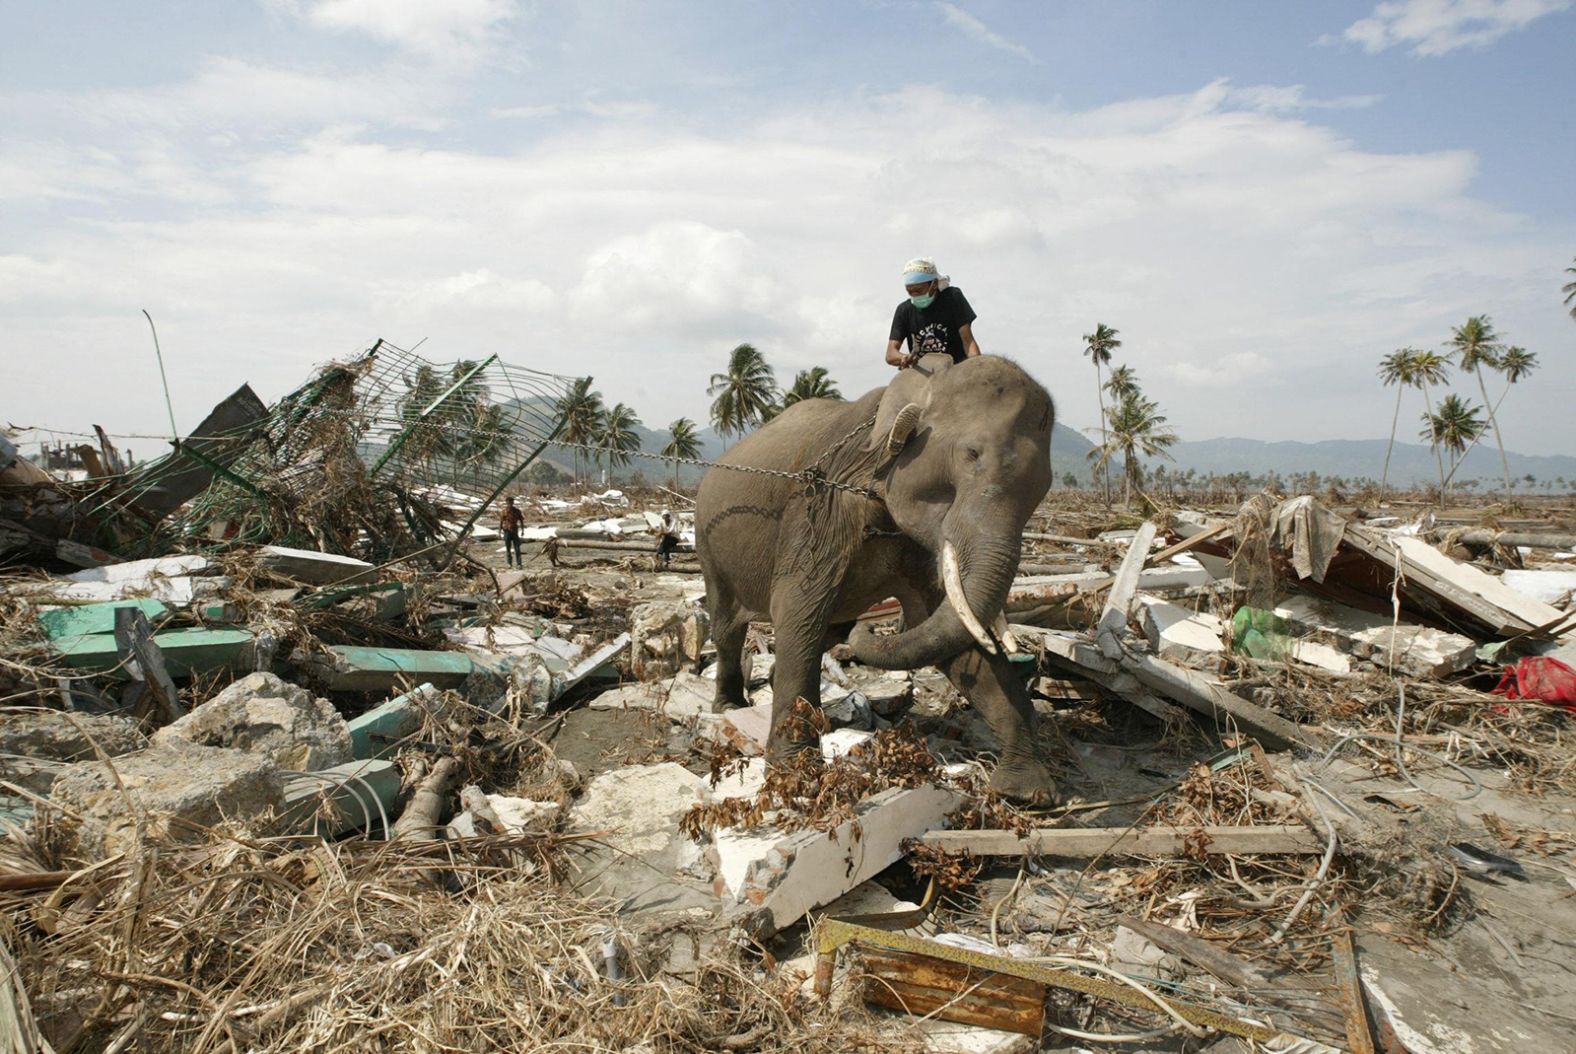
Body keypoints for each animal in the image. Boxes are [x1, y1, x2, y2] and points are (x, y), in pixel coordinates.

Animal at [693, 349, 1052, 800]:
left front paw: (1026, 792)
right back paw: (729, 707)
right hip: (709, 543)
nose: (871, 628)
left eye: (1044, 487)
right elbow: (797, 612)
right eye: (971, 454)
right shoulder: (821, 507)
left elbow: (947, 635)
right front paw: (797, 778)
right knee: (728, 626)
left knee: (829, 631)